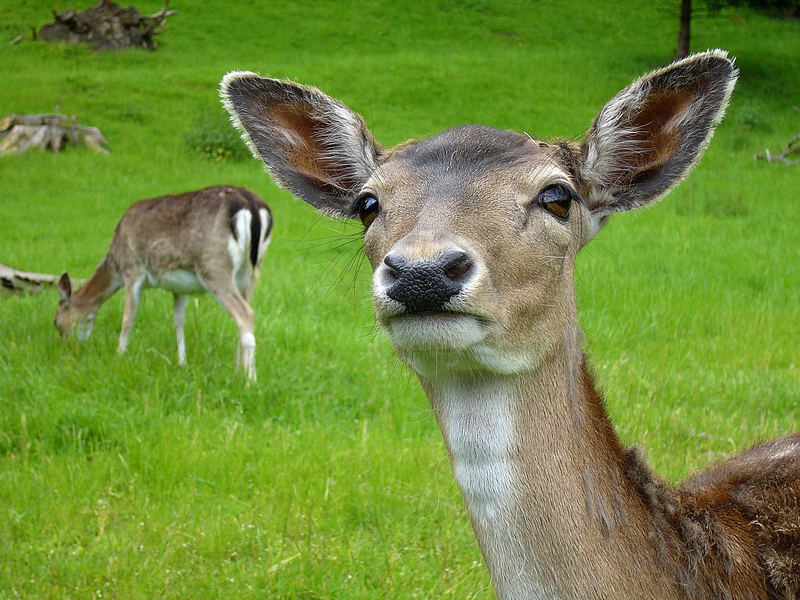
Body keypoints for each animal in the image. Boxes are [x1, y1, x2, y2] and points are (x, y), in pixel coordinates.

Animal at [54, 185, 272, 380]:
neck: (116, 262)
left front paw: (119, 355)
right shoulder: (179, 288)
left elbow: (127, 319)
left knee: (246, 314)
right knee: (242, 315)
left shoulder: (132, 271)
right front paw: (182, 361)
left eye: (56, 322)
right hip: (250, 273)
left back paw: (250, 379)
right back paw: (237, 371)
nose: (69, 346)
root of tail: (251, 205)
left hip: (215, 267)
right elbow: (179, 320)